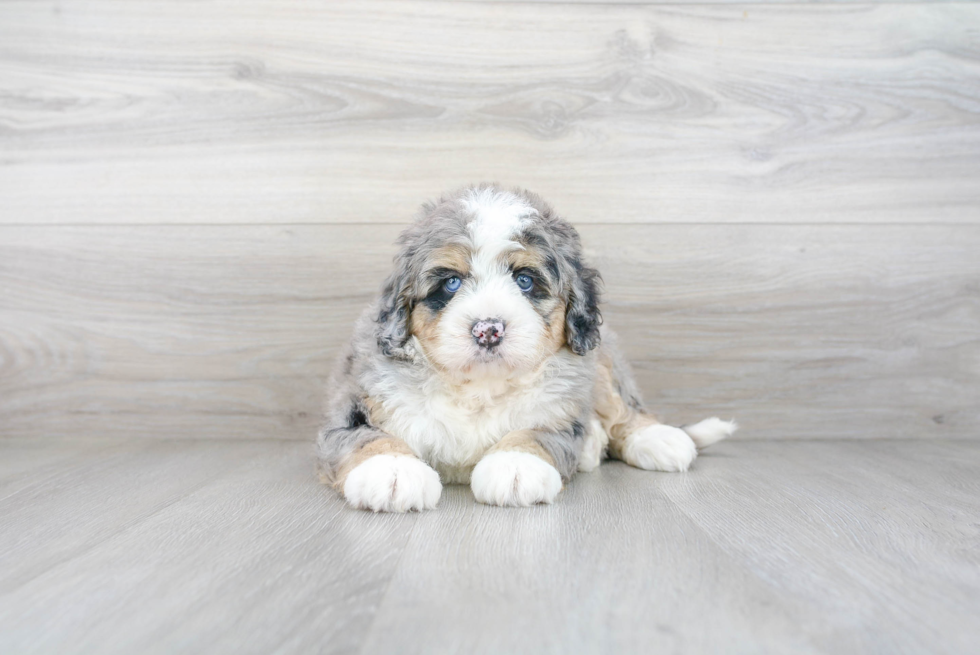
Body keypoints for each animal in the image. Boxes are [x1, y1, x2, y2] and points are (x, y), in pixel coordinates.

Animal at [318, 184, 740, 512]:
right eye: (451, 283)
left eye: (524, 280)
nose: (488, 330)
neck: (478, 388)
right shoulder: (354, 402)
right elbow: (366, 436)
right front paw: (391, 470)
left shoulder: (560, 411)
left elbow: (535, 433)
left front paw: (515, 466)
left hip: (602, 360)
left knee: (624, 406)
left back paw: (657, 438)